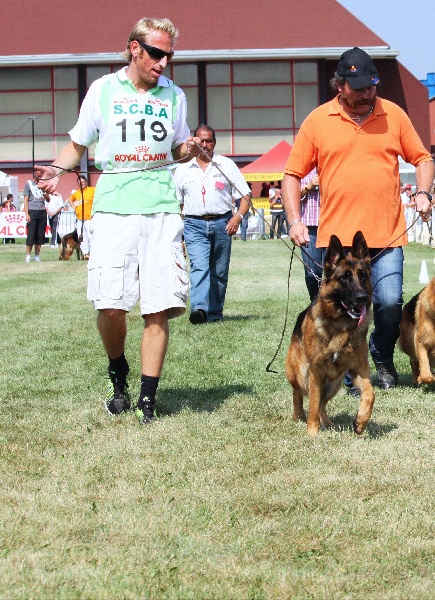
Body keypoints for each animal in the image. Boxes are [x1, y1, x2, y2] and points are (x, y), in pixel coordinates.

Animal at [286, 230, 374, 436]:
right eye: (344, 277)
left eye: (363, 276)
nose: (362, 298)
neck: (341, 324)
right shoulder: (316, 372)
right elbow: (312, 402)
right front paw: (312, 433)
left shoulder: (359, 369)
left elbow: (370, 393)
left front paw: (361, 421)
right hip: (301, 373)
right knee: (299, 395)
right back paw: (298, 416)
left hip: (335, 382)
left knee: (322, 404)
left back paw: (327, 422)